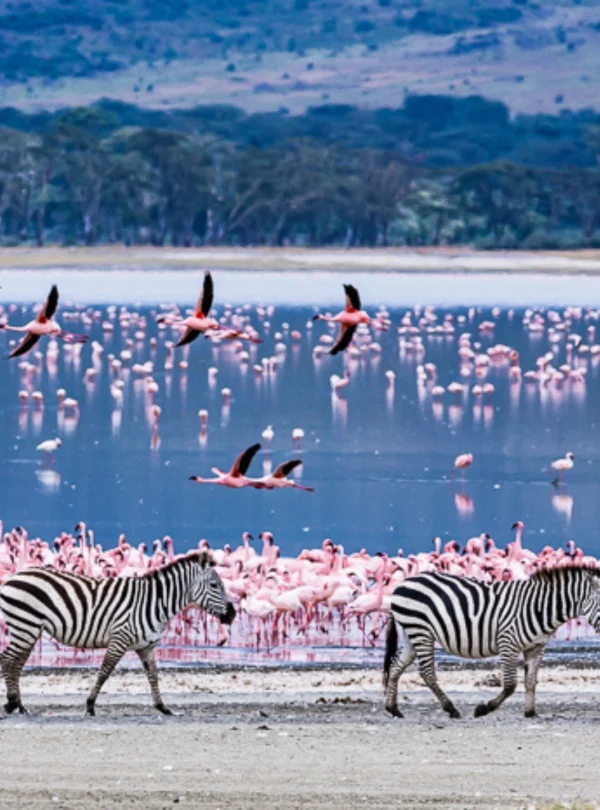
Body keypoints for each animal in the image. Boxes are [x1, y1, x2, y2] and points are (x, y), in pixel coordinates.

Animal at [0, 551, 235, 716]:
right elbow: (105, 672)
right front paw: (90, 705)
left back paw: (19, 705)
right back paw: (11, 703)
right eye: (214, 585)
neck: (155, 603)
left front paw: (162, 707)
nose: (232, 614)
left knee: (16, 663)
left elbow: (153, 674)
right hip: (25, 625)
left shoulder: (147, 646)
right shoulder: (119, 638)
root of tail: (13, 576)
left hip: (29, 629)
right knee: (8, 659)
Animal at [383, 566, 600, 719]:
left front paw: (531, 713)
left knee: (395, 666)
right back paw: (451, 709)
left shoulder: (536, 647)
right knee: (426, 672)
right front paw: (484, 709)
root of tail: (403, 583)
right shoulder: (508, 642)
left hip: (411, 634)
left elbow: (531, 681)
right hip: (421, 631)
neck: (540, 608)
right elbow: (511, 685)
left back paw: (393, 708)